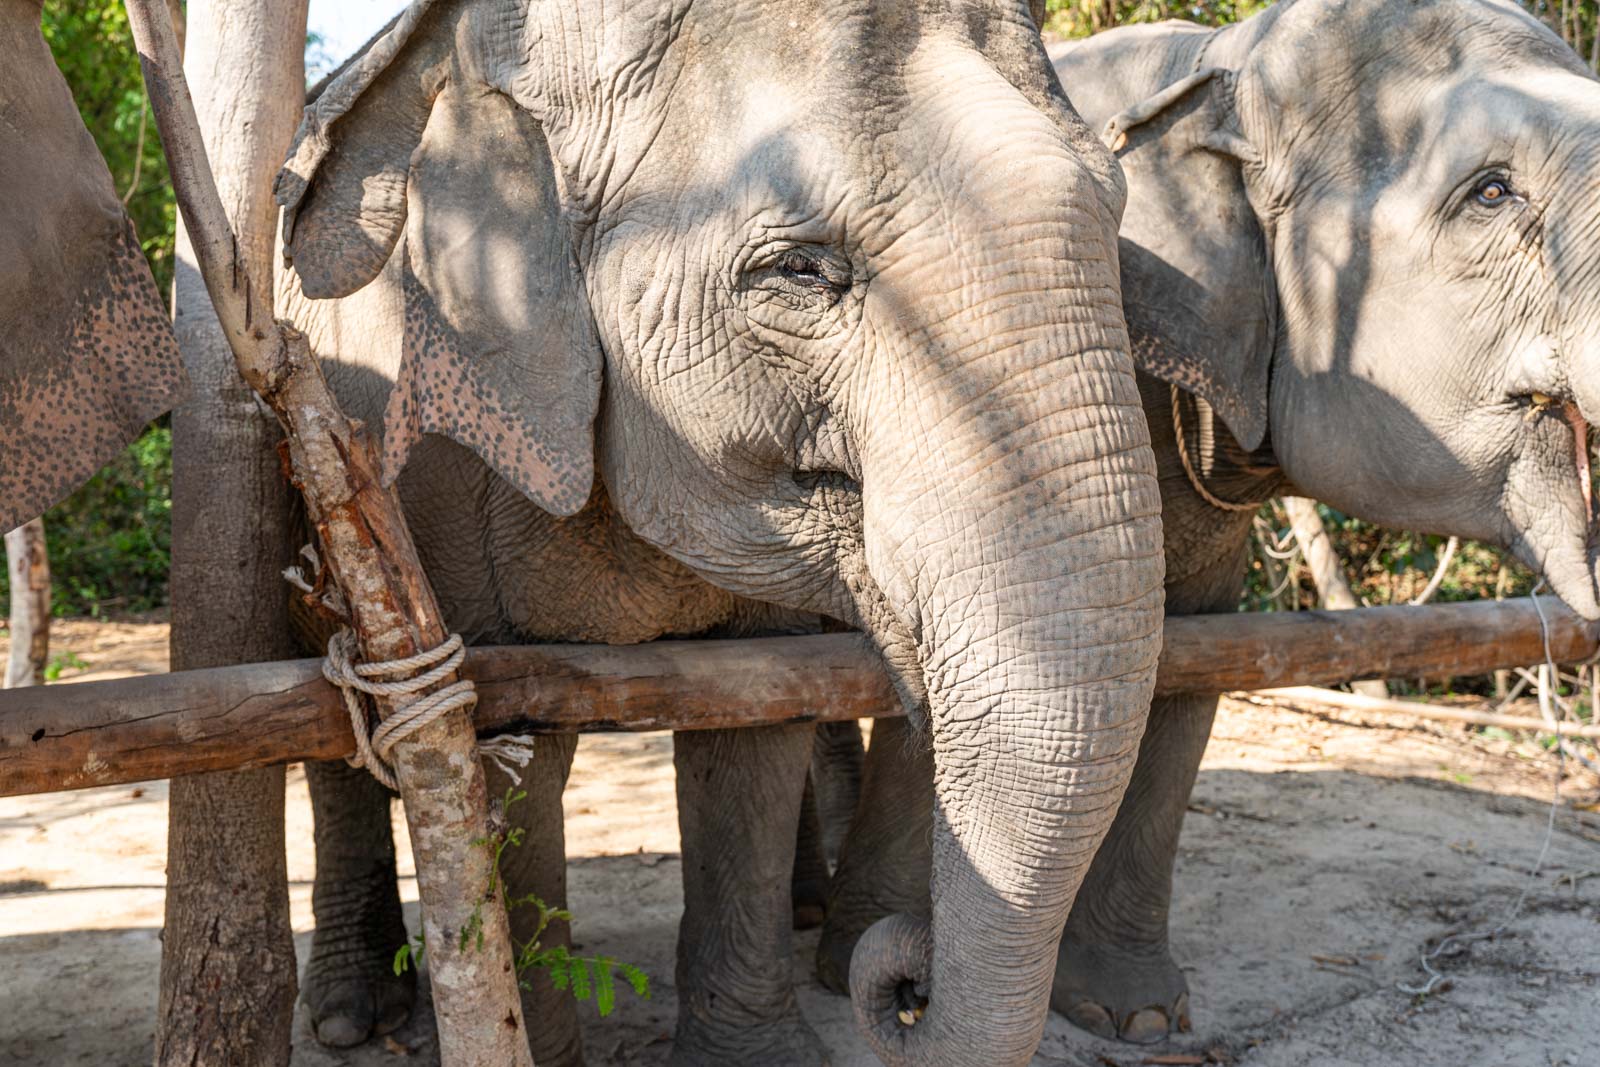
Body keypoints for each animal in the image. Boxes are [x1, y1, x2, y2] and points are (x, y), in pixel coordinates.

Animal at [278, 2, 1164, 1067]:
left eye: (1118, 214)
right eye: (800, 270)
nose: (906, 979)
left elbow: (755, 720)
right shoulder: (424, 452)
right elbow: (497, 734)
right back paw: (347, 1015)